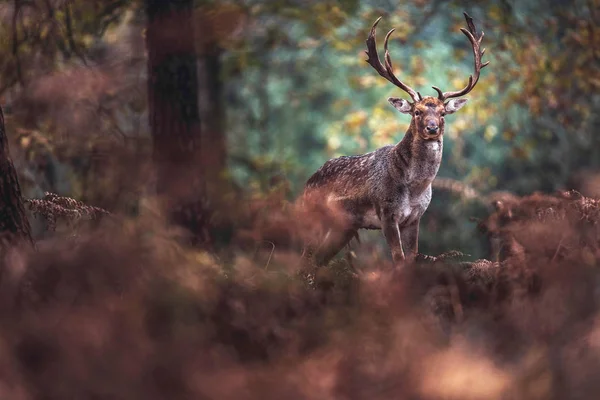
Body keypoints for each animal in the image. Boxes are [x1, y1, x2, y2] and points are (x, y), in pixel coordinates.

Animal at [302, 13, 490, 268]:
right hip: (314, 218)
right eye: (417, 111)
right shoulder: (387, 212)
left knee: (316, 260)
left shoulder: (415, 218)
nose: (432, 128)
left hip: (345, 227)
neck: (414, 188)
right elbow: (398, 260)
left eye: (443, 113)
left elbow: (410, 259)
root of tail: (306, 184)